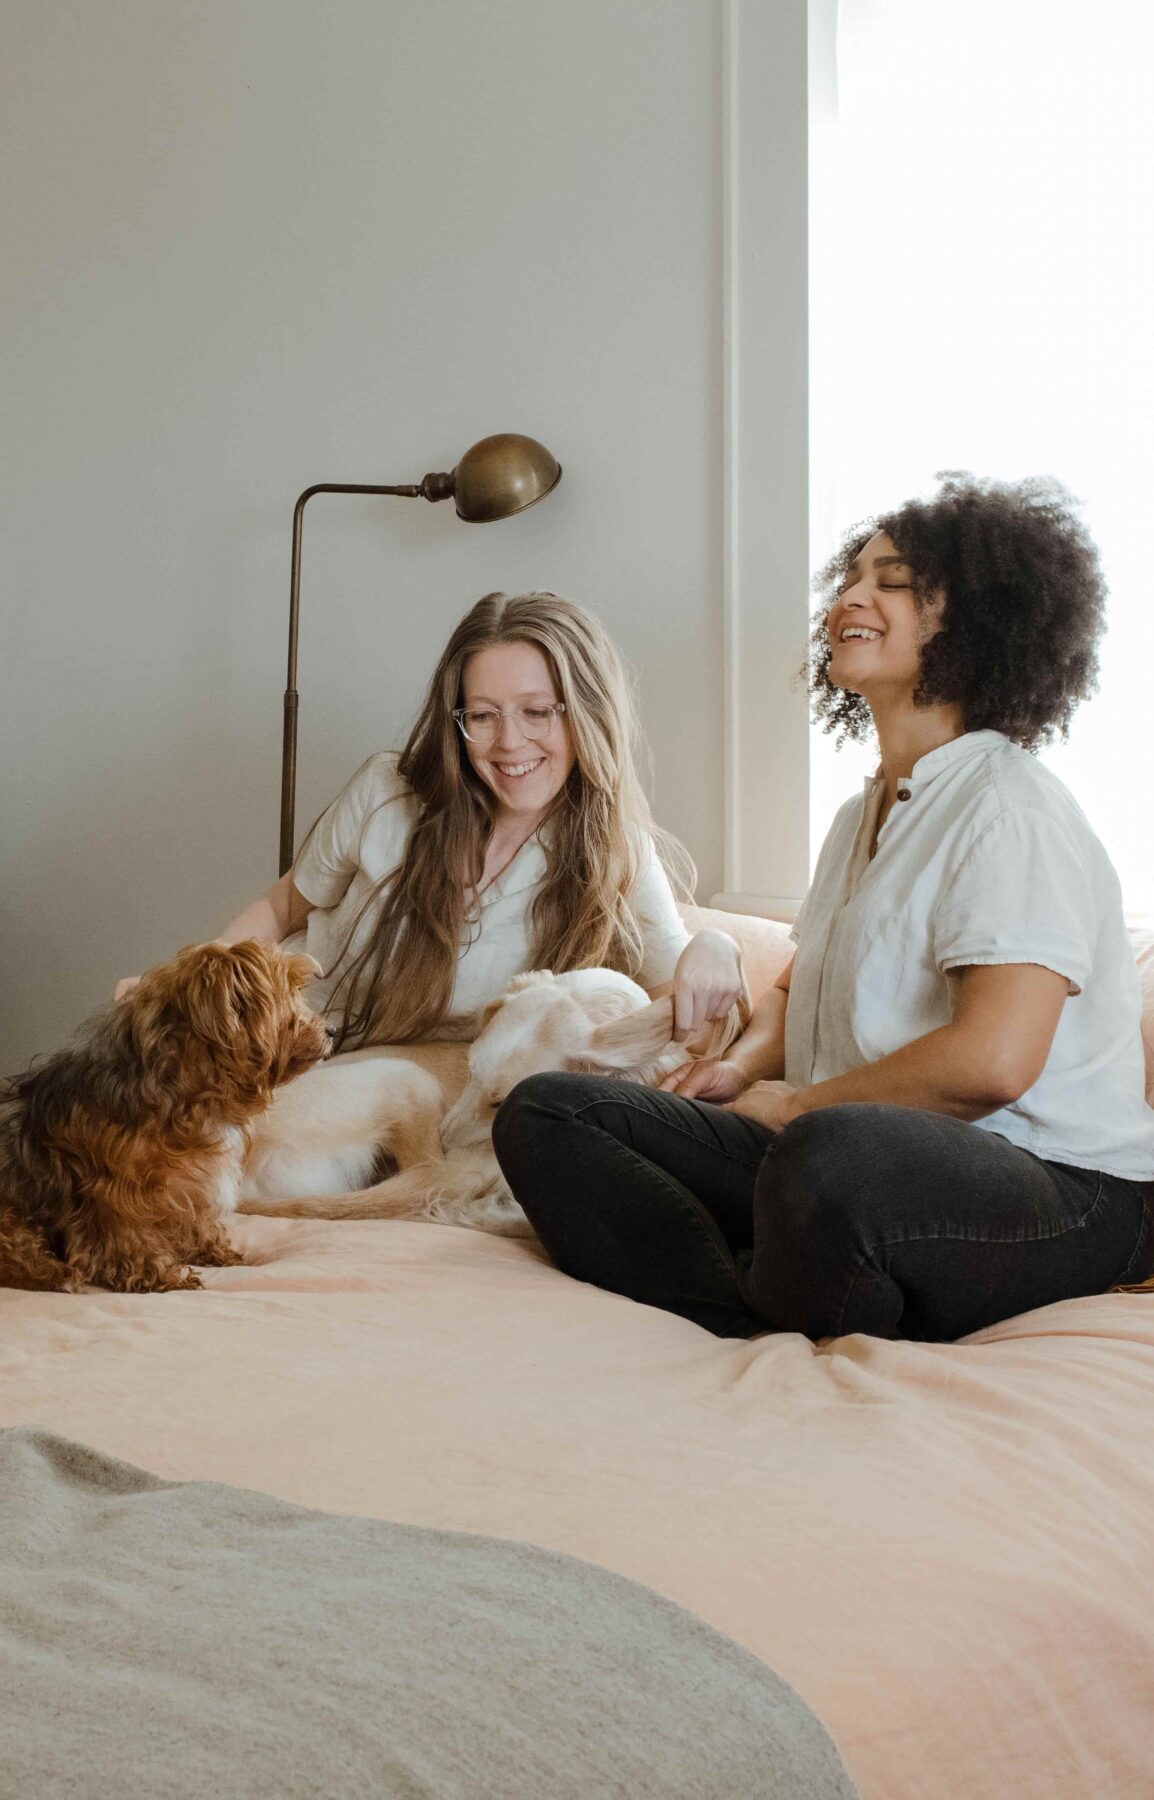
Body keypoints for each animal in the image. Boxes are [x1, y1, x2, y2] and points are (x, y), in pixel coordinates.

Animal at [1, 943, 327, 1296]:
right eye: (288, 992)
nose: (332, 1030)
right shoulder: (116, 1189)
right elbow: (129, 1234)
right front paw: (158, 1276)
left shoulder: (188, 1180)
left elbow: (195, 1219)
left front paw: (215, 1252)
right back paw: (53, 1273)